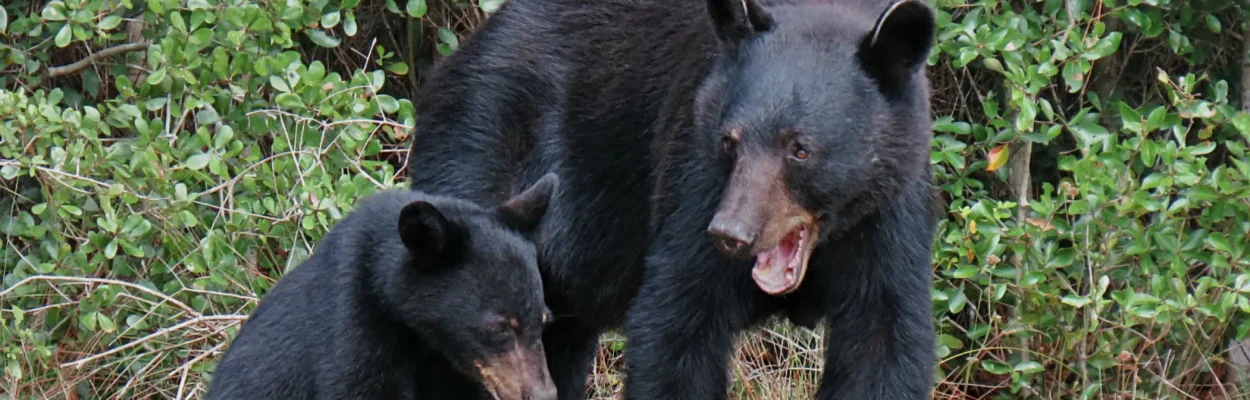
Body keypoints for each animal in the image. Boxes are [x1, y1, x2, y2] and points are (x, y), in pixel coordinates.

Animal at [403, 0, 939, 398]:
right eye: (729, 141)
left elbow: (883, 341)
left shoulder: (890, 215)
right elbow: (679, 323)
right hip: (481, 153)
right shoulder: (696, 180)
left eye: (800, 149)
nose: (731, 234)